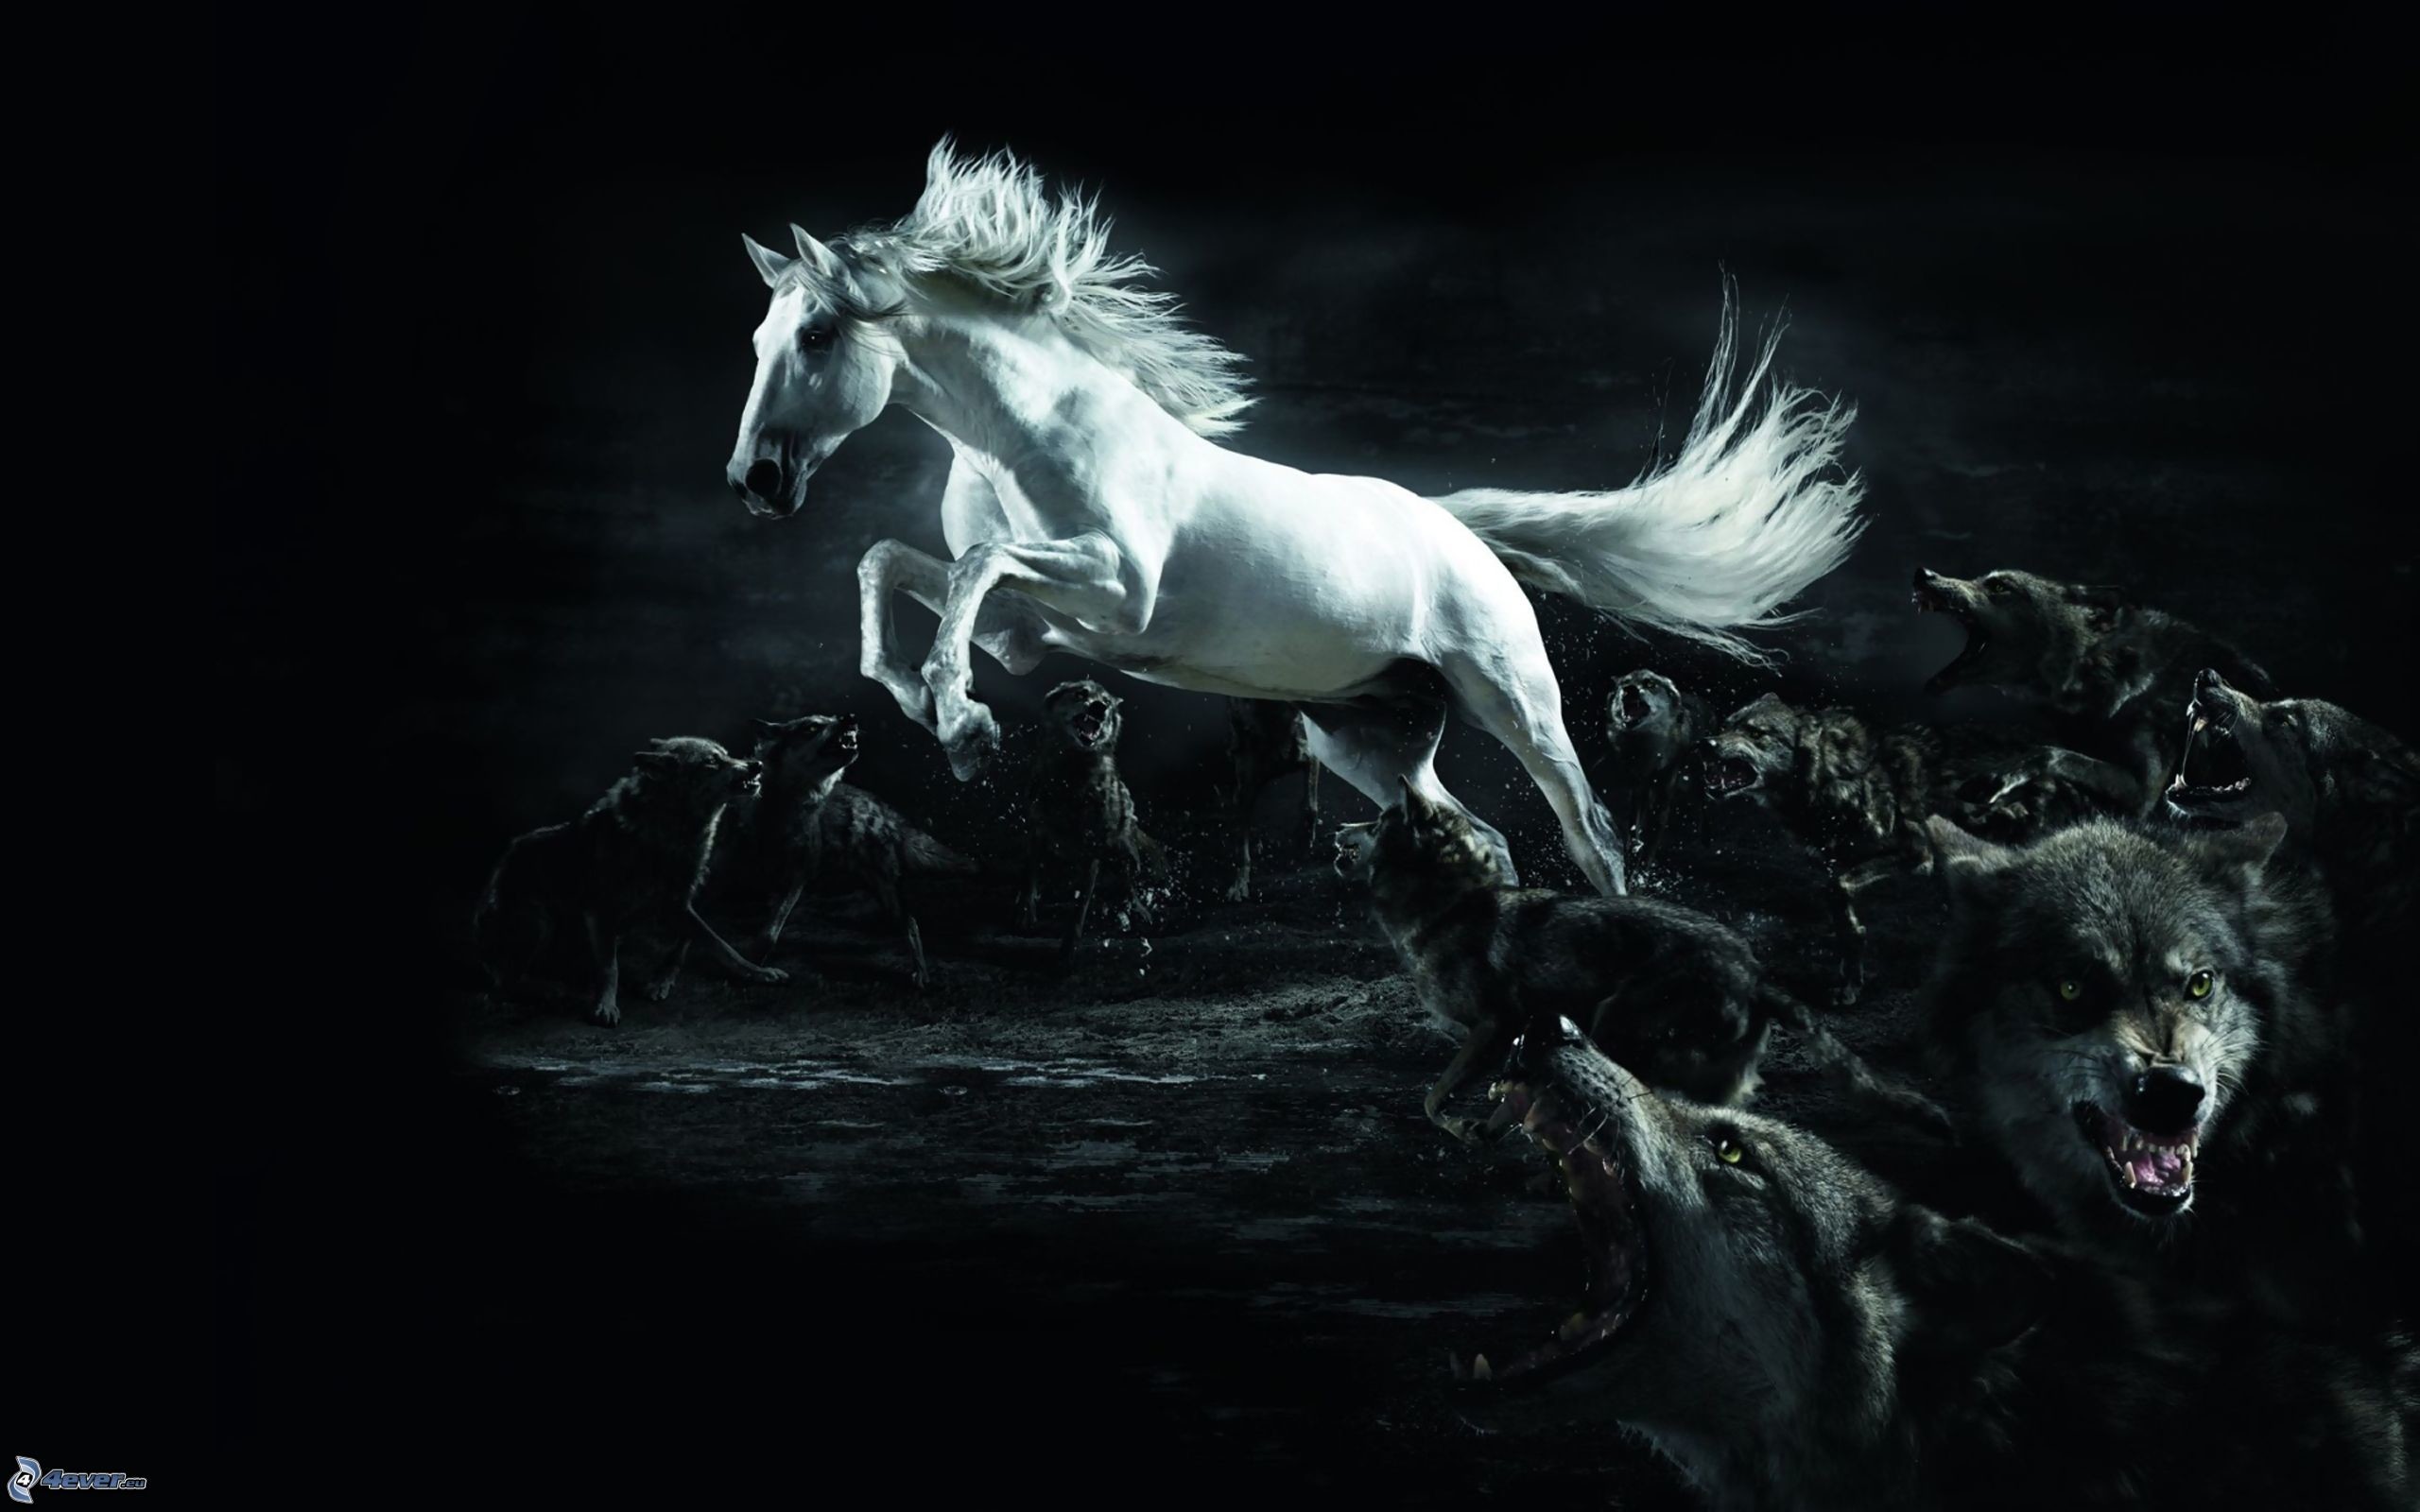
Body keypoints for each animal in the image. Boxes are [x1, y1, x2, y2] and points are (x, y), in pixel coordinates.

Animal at [725, 143, 1864, 896]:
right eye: (759, 338)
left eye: (817, 335)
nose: (755, 479)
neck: (1026, 432)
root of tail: (1458, 532)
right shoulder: (1030, 630)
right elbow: (893, 563)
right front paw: (932, 707)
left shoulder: (1117, 594)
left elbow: (970, 566)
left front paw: (960, 723)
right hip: (1373, 742)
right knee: (1483, 836)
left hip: (1514, 701)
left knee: (1590, 834)